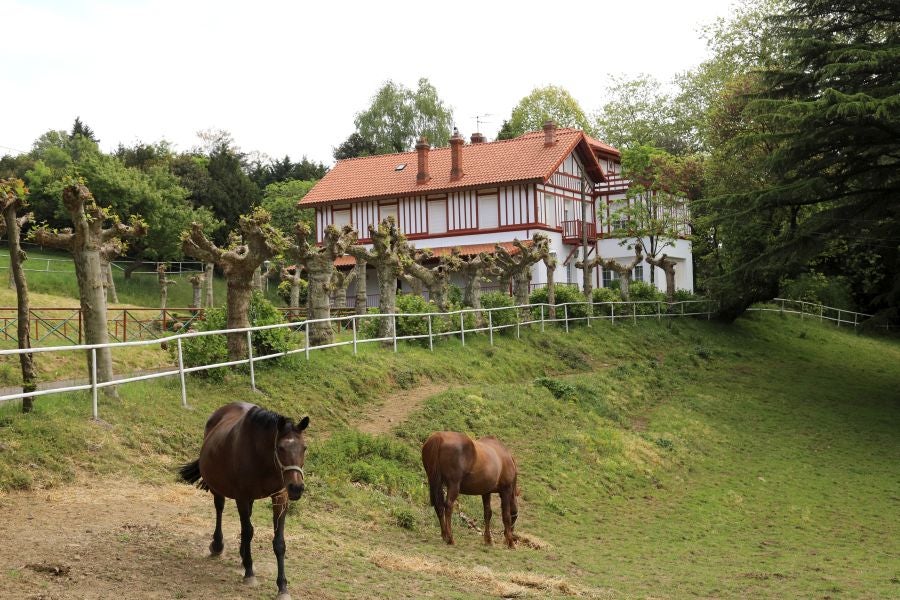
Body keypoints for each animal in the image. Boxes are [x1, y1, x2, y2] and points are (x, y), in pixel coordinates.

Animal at [178, 400, 312, 600]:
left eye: (304, 448)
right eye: (281, 448)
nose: (296, 488)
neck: (263, 458)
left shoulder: (280, 497)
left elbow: (279, 542)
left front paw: (282, 587)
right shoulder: (241, 496)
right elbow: (248, 531)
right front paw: (249, 573)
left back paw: (242, 555)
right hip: (219, 487)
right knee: (220, 508)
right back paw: (218, 546)